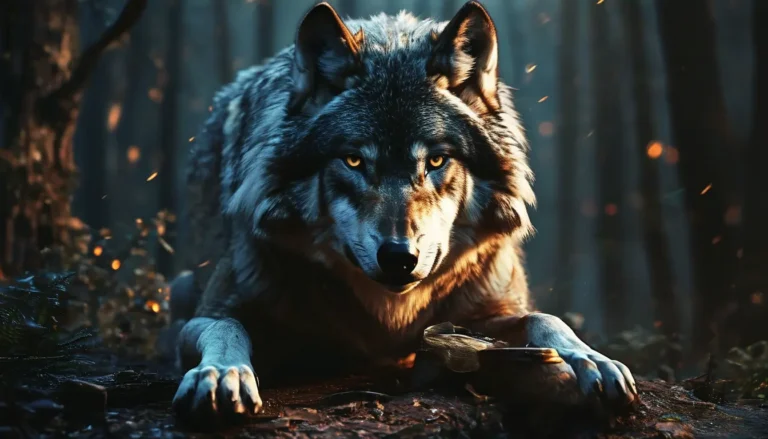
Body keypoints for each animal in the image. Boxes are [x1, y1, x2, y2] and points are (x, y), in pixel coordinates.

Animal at [170, 0, 637, 423]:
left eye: (436, 160)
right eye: (354, 161)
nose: (399, 256)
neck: (389, 320)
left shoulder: (485, 317)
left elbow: (544, 317)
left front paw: (587, 358)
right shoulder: (204, 317)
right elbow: (226, 326)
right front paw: (221, 373)